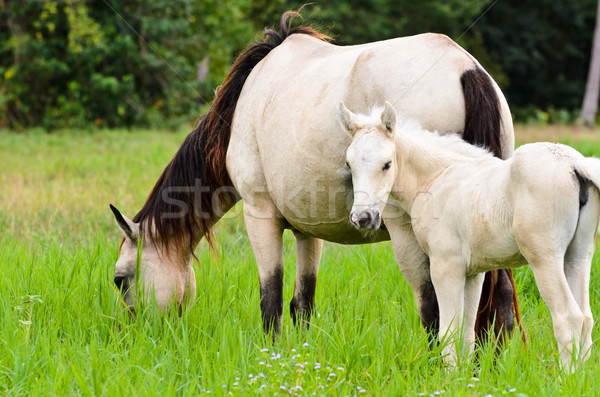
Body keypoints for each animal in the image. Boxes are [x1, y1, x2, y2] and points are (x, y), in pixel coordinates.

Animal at [110, 11, 524, 344]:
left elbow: (272, 300)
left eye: (120, 280)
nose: (132, 335)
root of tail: (463, 67)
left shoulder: (260, 215)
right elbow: (302, 303)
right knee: (499, 296)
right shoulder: (308, 229)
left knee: (433, 307)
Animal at [340, 100, 600, 368]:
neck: (437, 178)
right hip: (577, 256)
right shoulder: (473, 273)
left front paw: (447, 375)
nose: (362, 217)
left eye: (387, 164)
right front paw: (463, 375)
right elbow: (466, 333)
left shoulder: (445, 266)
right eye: (349, 164)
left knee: (568, 317)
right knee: (586, 318)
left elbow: (448, 331)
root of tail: (574, 163)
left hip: (544, 258)